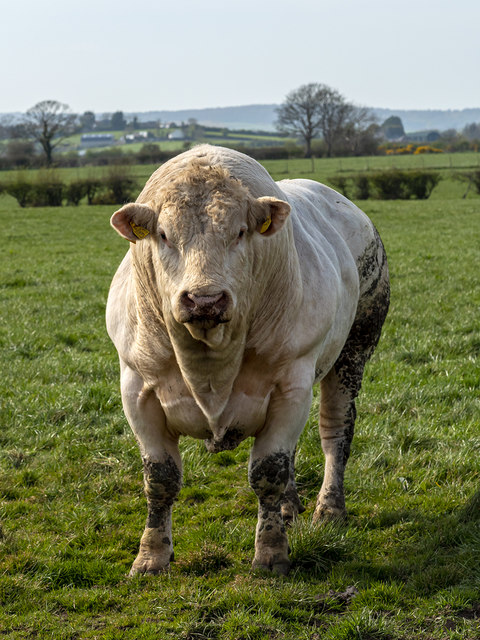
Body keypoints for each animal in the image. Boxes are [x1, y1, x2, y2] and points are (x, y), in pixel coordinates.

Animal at [106, 145, 390, 576]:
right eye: (164, 235)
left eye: (240, 232)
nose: (204, 299)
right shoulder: (138, 390)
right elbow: (161, 479)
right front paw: (151, 557)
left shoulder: (291, 385)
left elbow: (268, 471)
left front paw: (271, 553)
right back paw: (290, 507)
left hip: (354, 351)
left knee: (335, 432)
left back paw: (329, 508)